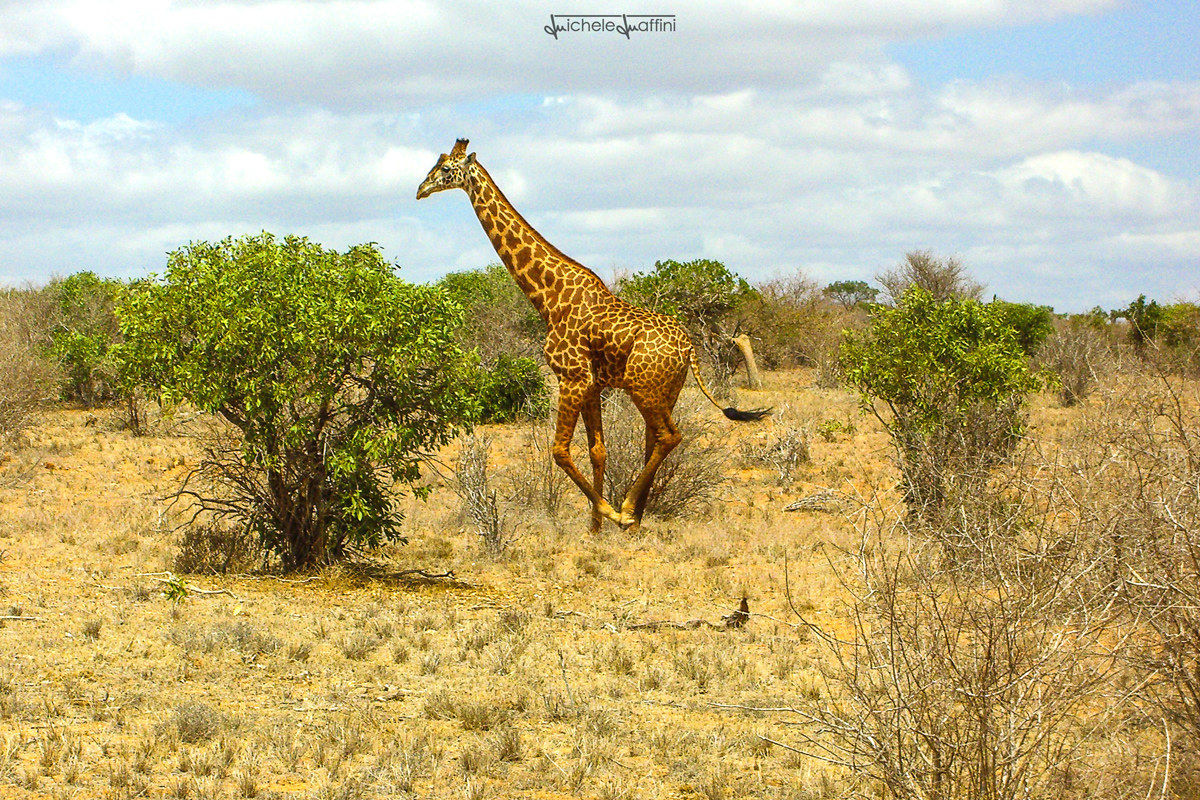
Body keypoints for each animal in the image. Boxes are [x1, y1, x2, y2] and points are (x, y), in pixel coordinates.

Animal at [417, 138, 769, 531]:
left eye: (446, 169)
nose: (420, 189)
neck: (549, 298)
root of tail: (689, 346)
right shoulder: (593, 384)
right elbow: (598, 450)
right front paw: (595, 528)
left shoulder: (572, 377)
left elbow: (559, 451)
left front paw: (608, 513)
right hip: (667, 390)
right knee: (654, 440)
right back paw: (637, 516)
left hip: (643, 387)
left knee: (669, 436)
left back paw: (628, 510)